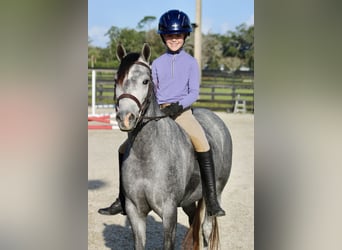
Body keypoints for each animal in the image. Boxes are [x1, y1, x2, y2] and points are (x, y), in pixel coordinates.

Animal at [113, 43, 231, 250]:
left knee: (206, 228)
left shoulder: (168, 212)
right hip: (189, 201)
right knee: (193, 224)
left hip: (215, 192)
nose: (126, 118)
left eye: (145, 81)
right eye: (116, 81)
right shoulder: (135, 211)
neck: (147, 153)